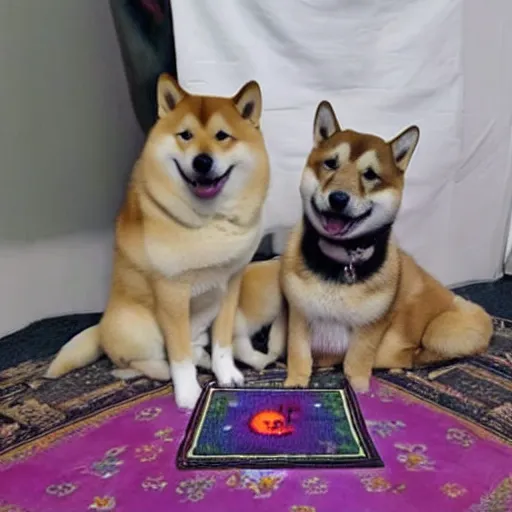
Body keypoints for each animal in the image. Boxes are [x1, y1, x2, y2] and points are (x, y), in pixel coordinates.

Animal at [46, 73, 270, 408]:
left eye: (222, 136)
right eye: (185, 135)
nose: (202, 161)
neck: (207, 222)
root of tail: (101, 325)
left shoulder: (230, 285)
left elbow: (222, 343)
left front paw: (226, 373)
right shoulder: (172, 293)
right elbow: (179, 356)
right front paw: (188, 394)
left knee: (197, 347)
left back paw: (205, 358)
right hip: (138, 328)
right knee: (135, 365)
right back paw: (162, 369)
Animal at [238, 100, 494, 390]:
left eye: (370, 175)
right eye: (330, 163)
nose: (338, 198)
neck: (339, 260)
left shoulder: (371, 325)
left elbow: (358, 360)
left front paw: (359, 387)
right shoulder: (299, 314)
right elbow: (299, 353)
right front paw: (296, 382)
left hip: (450, 329)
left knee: (426, 351)